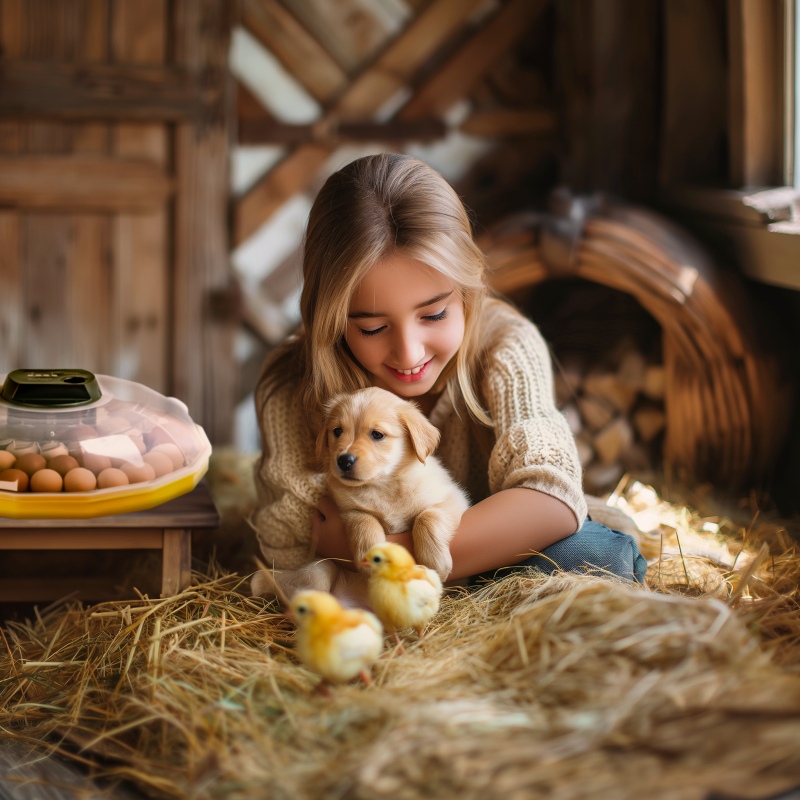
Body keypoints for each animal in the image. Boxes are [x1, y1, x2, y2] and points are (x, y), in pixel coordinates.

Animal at [316, 388, 468, 580]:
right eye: (337, 431)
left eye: (377, 434)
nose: (344, 461)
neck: (384, 485)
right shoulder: (349, 510)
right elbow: (364, 522)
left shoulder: (453, 498)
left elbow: (427, 517)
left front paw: (434, 562)